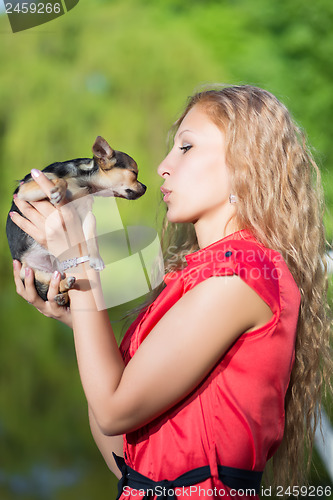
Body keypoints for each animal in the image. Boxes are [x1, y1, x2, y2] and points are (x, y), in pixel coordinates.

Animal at [5, 137, 146, 304]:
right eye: (134, 173)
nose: (145, 187)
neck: (81, 180)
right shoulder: (26, 190)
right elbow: (59, 180)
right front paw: (58, 190)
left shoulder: (87, 214)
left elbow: (91, 237)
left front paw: (96, 259)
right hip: (30, 273)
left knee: (55, 285)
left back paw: (64, 292)